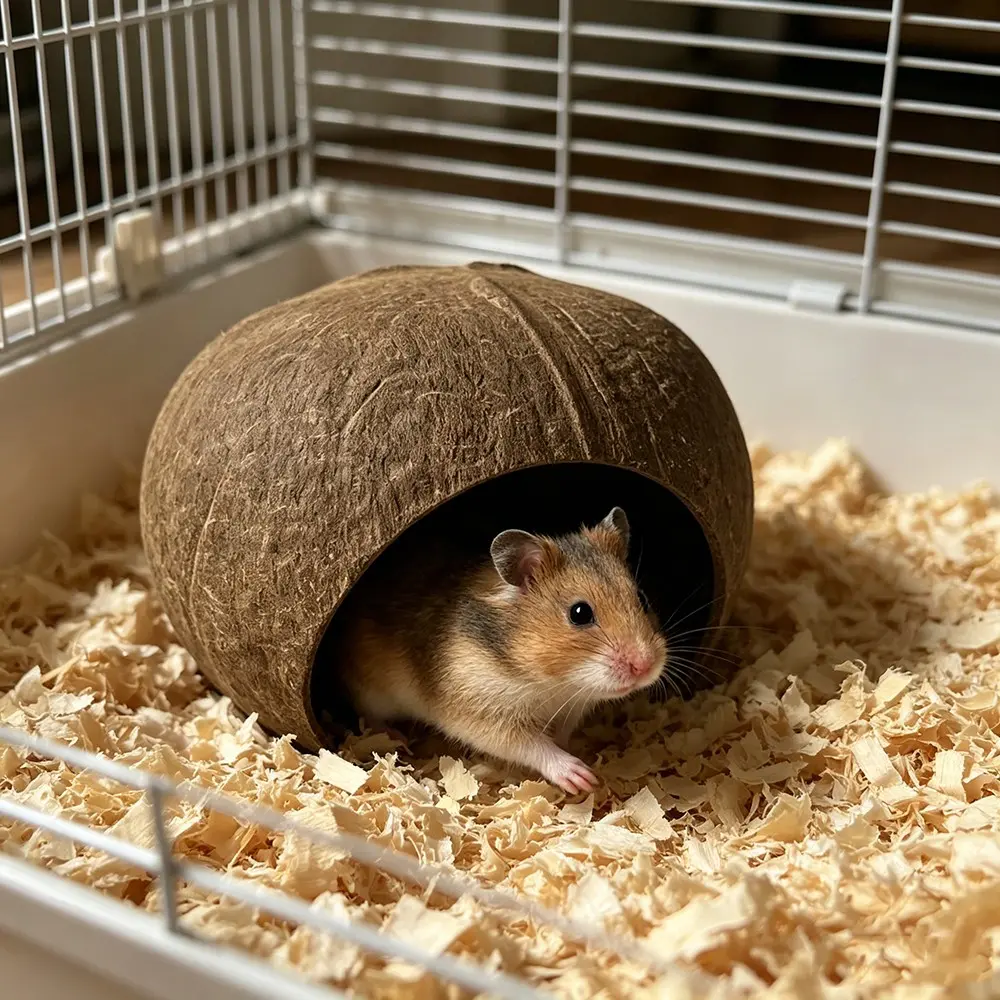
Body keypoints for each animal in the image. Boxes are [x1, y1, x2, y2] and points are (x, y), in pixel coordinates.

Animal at [333, 507, 667, 794]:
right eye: (580, 613)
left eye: (642, 598)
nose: (645, 666)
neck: (554, 684)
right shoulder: (480, 711)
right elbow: (532, 745)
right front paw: (581, 777)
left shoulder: (571, 709)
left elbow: (558, 735)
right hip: (371, 691)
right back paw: (395, 738)